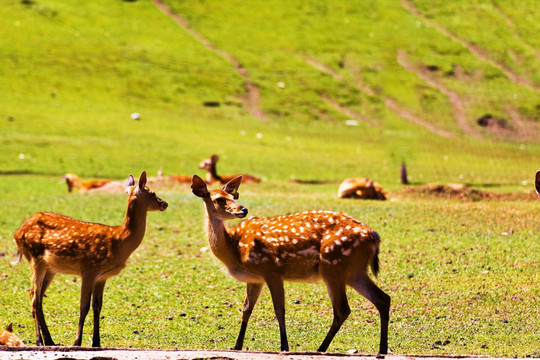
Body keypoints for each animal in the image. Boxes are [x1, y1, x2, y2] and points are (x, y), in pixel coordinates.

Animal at [13, 172, 169, 348]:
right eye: (152, 193)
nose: (164, 203)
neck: (119, 241)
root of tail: (18, 233)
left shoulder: (102, 276)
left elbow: (97, 306)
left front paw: (96, 342)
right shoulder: (89, 269)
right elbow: (84, 306)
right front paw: (77, 342)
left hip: (50, 268)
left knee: (37, 296)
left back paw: (50, 340)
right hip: (35, 258)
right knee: (34, 296)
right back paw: (39, 341)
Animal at [192, 174, 390, 354]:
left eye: (234, 196)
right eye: (219, 199)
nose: (243, 209)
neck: (234, 249)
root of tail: (373, 236)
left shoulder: (270, 269)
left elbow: (279, 309)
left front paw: (284, 346)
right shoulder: (255, 279)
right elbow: (246, 309)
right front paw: (237, 346)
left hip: (334, 266)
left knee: (343, 309)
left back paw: (321, 349)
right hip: (355, 271)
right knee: (382, 299)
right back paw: (381, 349)